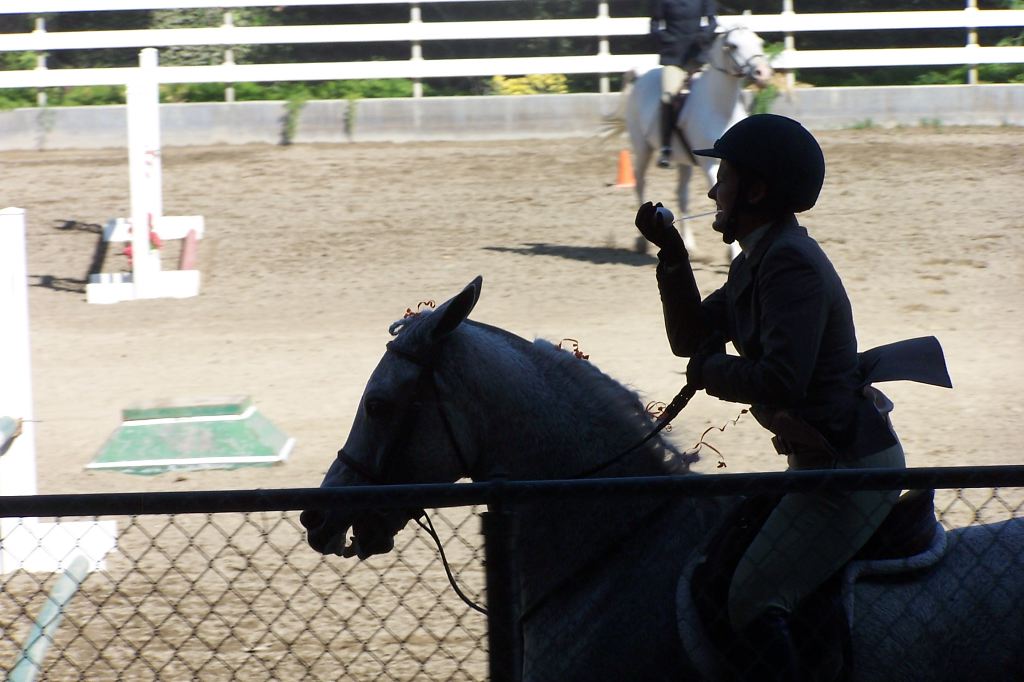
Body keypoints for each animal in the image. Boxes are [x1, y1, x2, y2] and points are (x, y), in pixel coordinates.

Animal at [606, 25, 770, 256]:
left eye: (759, 42)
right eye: (733, 46)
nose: (762, 73)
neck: (720, 106)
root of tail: (641, 76)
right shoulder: (711, 165)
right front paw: (733, 253)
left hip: (684, 160)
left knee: (682, 195)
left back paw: (689, 245)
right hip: (642, 148)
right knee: (640, 183)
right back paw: (641, 242)